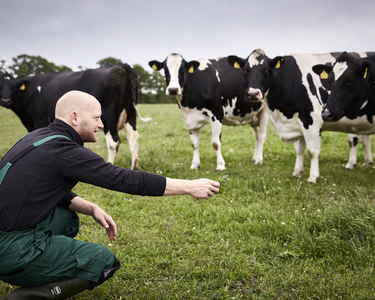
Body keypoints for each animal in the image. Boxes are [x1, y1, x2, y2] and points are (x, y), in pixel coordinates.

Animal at [0, 63, 152, 170]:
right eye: (0, 86)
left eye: (13, 87)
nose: (5, 101)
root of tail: (122, 65)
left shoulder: (38, 119)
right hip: (130, 114)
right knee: (133, 138)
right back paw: (134, 167)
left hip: (108, 116)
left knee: (113, 141)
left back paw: (111, 164)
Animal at [228, 49, 374, 183]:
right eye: (245, 70)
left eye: (266, 70)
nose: (253, 94)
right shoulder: (298, 122)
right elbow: (299, 149)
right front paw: (297, 172)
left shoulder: (311, 120)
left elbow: (312, 150)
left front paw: (313, 177)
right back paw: (366, 162)